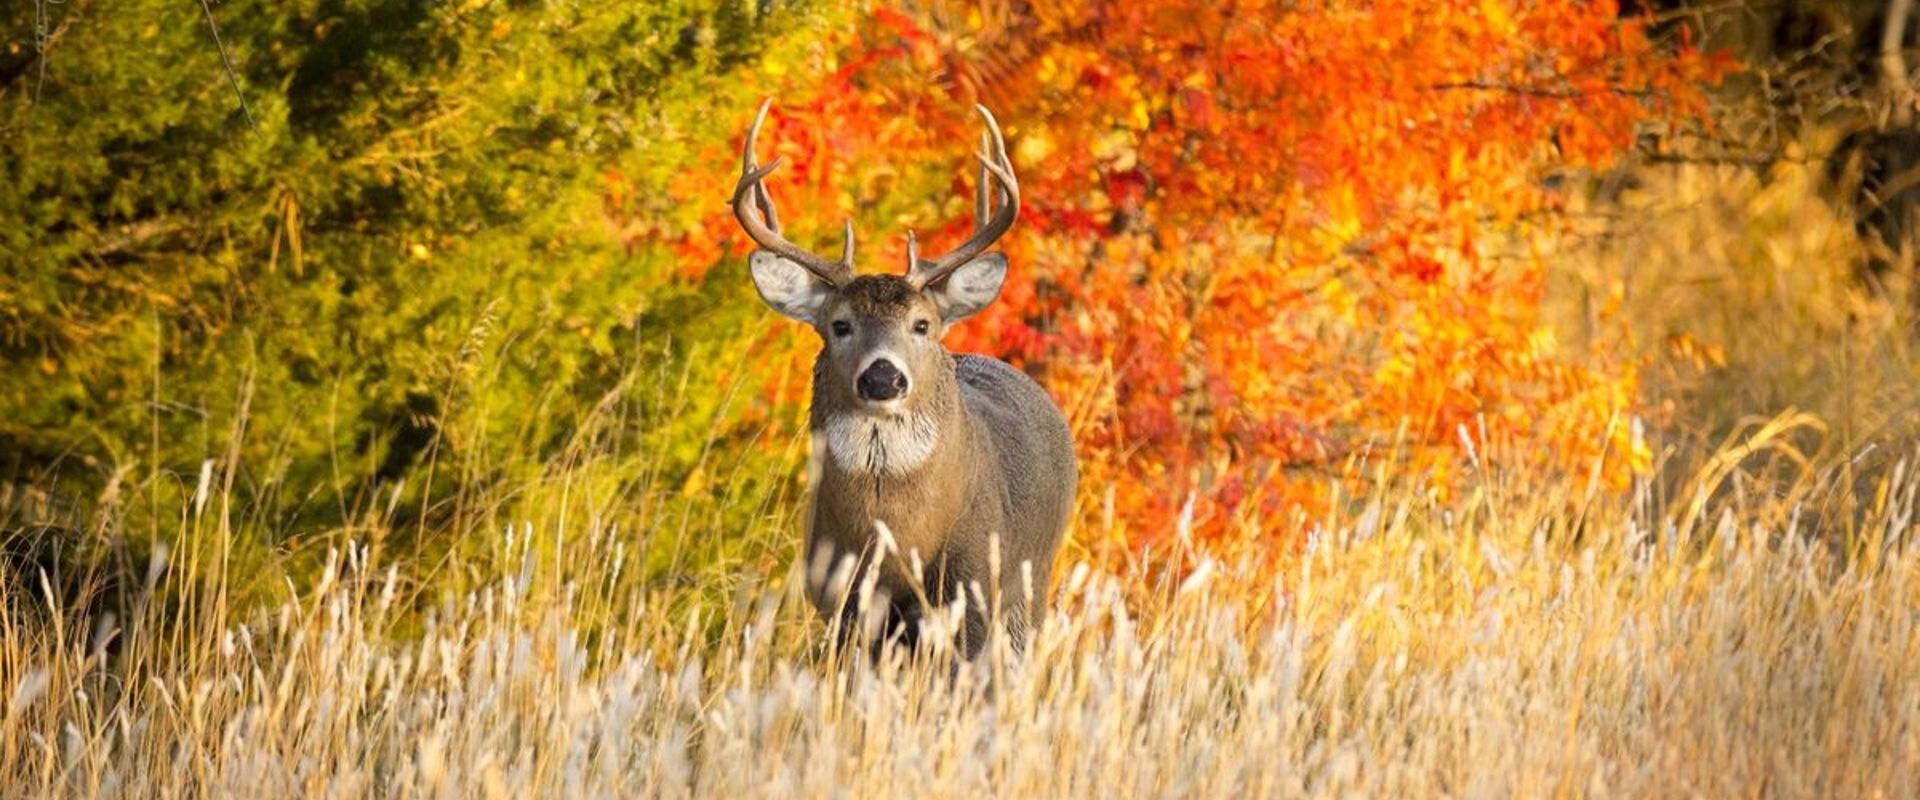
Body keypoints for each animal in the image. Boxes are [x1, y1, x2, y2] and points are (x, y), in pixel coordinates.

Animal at [729, 101, 1077, 660]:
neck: (895, 539)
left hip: (1031, 581)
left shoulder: (972, 588)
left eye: (922, 324)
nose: (883, 376)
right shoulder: (843, 600)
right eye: (839, 324)